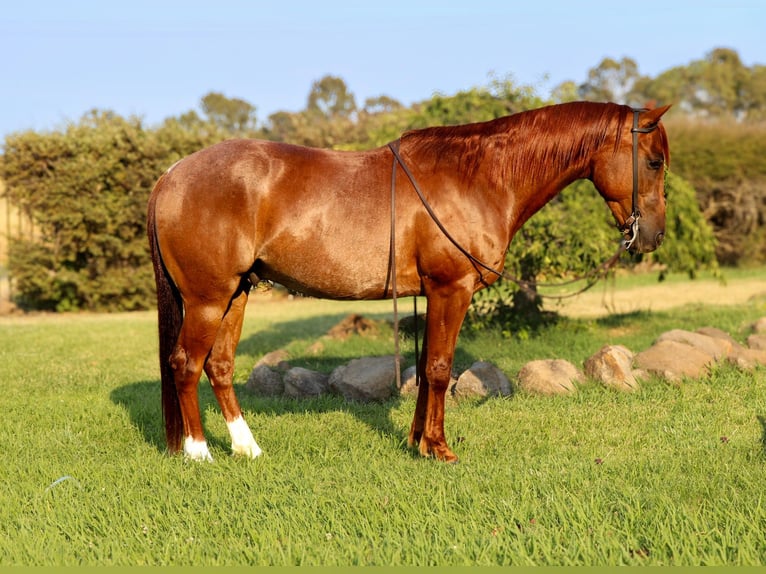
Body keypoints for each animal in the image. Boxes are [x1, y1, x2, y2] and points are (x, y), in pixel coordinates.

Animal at [147, 101, 671, 463]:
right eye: (654, 161)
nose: (654, 236)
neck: (478, 177)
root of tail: (171, 175)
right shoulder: (450, 289)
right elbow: (438, 368)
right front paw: (439, 449)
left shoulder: (433, 295)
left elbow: (424, 368)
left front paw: (417, 441)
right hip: (207, 299)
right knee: (185, 364)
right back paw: (199, 452)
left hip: (235, 294)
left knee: (219, 367)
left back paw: (247, 448)